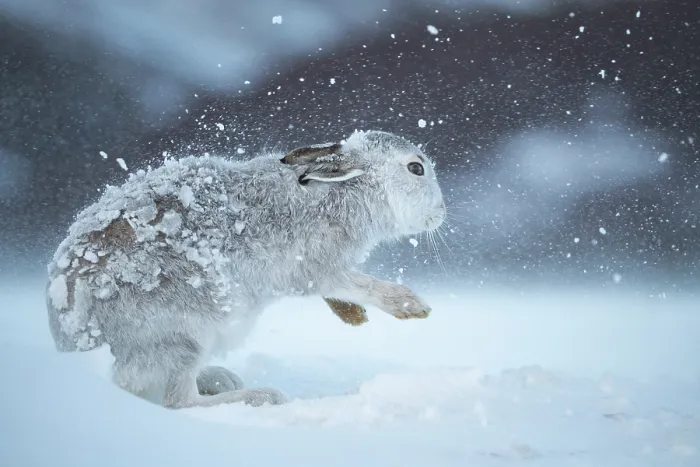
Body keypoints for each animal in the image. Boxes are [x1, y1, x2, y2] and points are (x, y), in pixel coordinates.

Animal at [45, 129, 447, 409]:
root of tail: (74, 342)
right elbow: (358, 284)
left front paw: (354, 317)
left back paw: (223, 378)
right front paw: (413, 307)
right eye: (416, 168)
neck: (346, 191)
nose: (441, 213)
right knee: (178, 401)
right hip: (181, 334)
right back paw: (260, 396)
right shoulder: (314, 268)